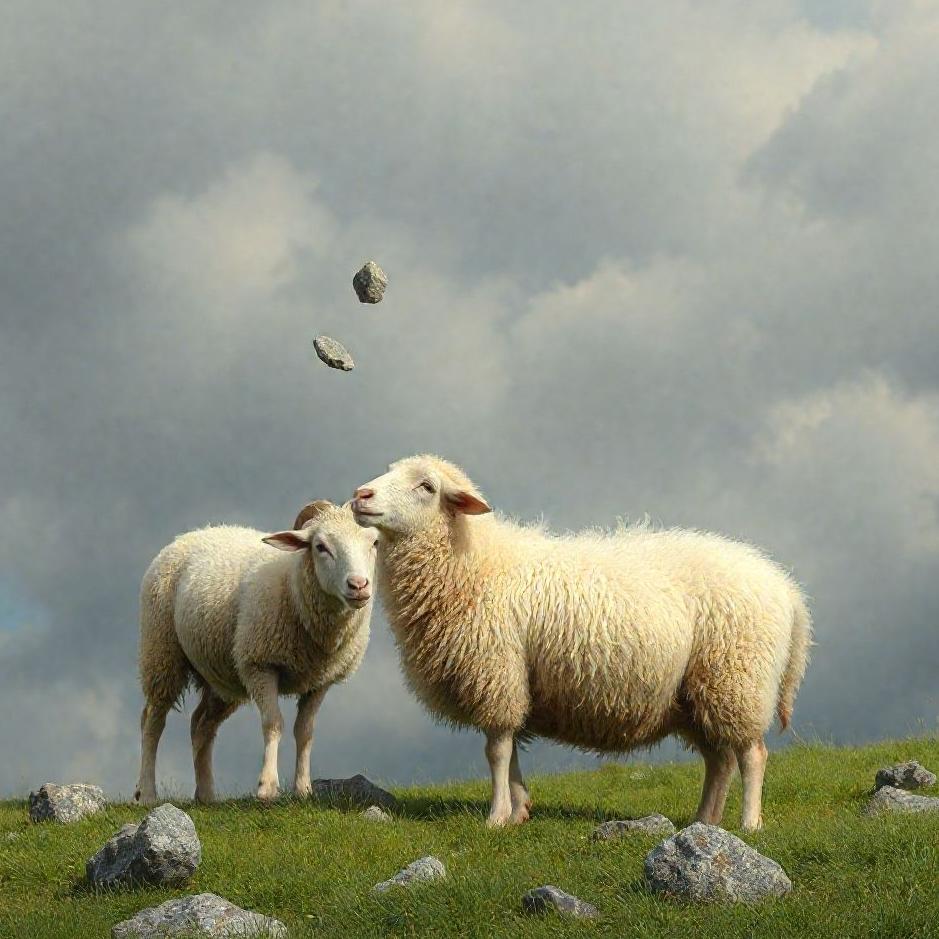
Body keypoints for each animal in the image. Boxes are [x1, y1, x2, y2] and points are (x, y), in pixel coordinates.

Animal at [135, 500, 379, 805]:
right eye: (320, 546)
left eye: (374, 542)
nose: (358, 585)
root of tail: (192, 533)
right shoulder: (259, 664)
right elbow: (273, 723)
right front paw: (267, 788)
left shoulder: (321, 681)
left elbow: (305, 732)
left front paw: (303, 789)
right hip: (162, 652)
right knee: (153, 721)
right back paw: (147, 793)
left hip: (222, 675)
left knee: (201, 725)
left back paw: (206, 795)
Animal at [351, 455, 812, 831]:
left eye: (427, 486)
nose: (360, 494)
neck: (475, 561)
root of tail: (787, 588)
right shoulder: (513, 682)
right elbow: (511, 749)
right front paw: (519, 810)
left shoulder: (497, 674)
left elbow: (496, 751)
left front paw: (496, 816)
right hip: (698, 694)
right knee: (720, 761)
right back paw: (705, 821)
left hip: (738, 678)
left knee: (752, 755)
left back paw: (749, 823)